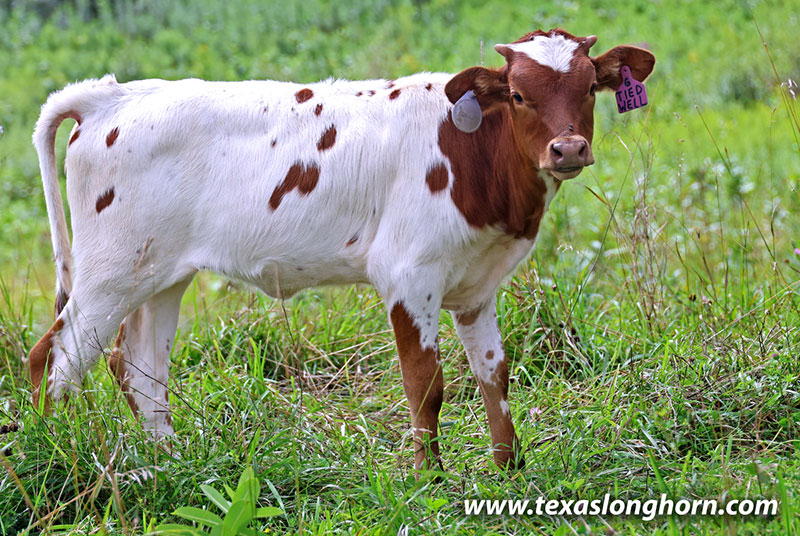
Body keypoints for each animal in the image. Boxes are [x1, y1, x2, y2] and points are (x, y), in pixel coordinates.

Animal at [29, 28, 654, 472]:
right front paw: (430, 479)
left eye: (588, 89)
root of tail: (114, 96)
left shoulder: (477, 284)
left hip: (158, 274)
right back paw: (52, 456)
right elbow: (426, 385)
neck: (471, 155)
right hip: (108, 274)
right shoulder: (408, 276)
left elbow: (493, 375)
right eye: (520, 95)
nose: (568, 149)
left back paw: (170, 463)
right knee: (53, 358)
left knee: (137, 367)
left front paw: (510, 467)